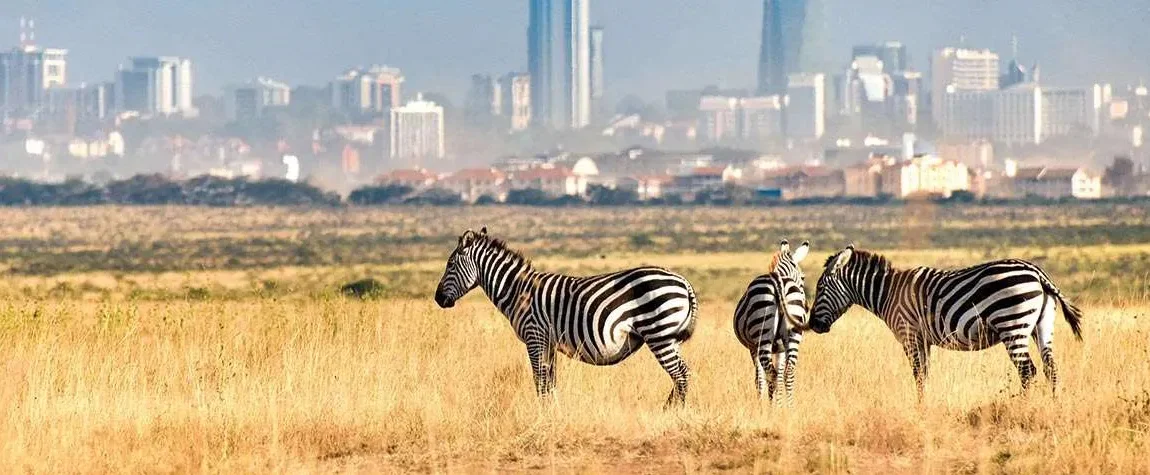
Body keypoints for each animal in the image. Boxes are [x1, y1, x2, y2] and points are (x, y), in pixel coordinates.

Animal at [432, 227, 694, 404]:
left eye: (450, 265)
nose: (437, 299)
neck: (517, 290)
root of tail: (684, 281)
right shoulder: (548, 342)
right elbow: (550, 381)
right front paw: (554, 411)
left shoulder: (534, 336)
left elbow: (539, 379)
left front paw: (543, 414)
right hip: (669, 337)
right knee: (683, 372)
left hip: (658, 333)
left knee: (680, 374)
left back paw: (671, 412)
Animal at [731, 239, 814, 402]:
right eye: (803, 278)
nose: (807, 307)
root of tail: (779, 281)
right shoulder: (781, 348)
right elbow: (780, 375)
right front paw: (778, 401)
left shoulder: (753, 347)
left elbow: (759, 379)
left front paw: (761, 403)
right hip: (793, 335)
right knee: (788, 373)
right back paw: (789, 406)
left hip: (762, 334)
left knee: (771, 375)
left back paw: (772, 406)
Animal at [805, 243, 1081, 395]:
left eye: (819, 288)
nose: (813, 325)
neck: (888, 292)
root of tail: (1038, 274)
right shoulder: (923, 340)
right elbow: (925, 375)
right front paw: (925, 405)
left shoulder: (909, 334)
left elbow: (918, 374)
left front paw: (919, 410)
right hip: (1041, 326)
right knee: (1050, 368)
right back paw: (1053, 407)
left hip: (1012, 325)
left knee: (1027, 371)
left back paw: (1021, 409)